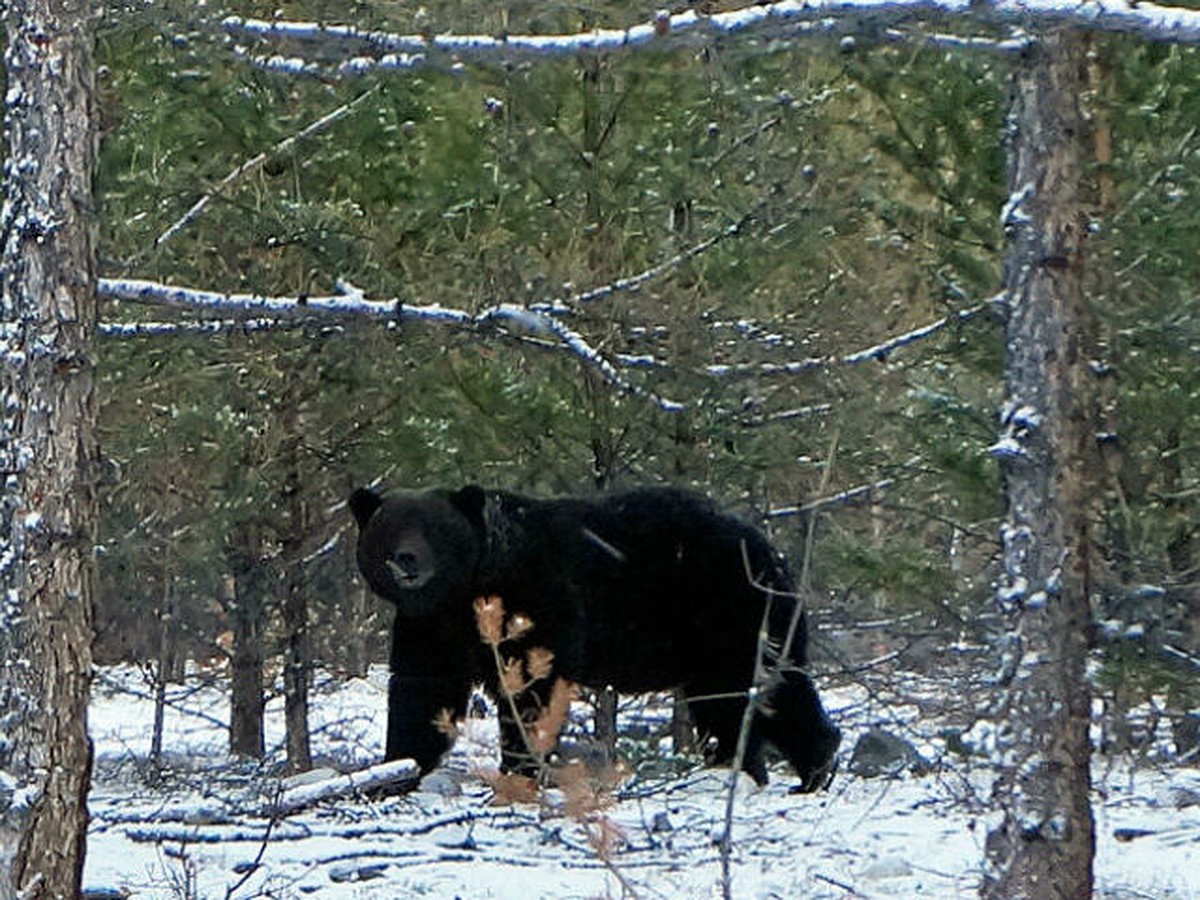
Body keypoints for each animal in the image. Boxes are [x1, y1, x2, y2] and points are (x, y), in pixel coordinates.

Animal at [348, 487, 840, 787]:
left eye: (436, 529)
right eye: (390, 527)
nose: (407, 560)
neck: (467, 592)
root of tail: (771, 549)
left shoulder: (537, 600)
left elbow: (532, 690)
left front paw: (523, 766)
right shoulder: (430, 627)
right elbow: (422, 693)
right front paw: (399, 768)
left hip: (731, 611)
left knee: (766, 687)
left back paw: (815, 766)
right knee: (727, 704)